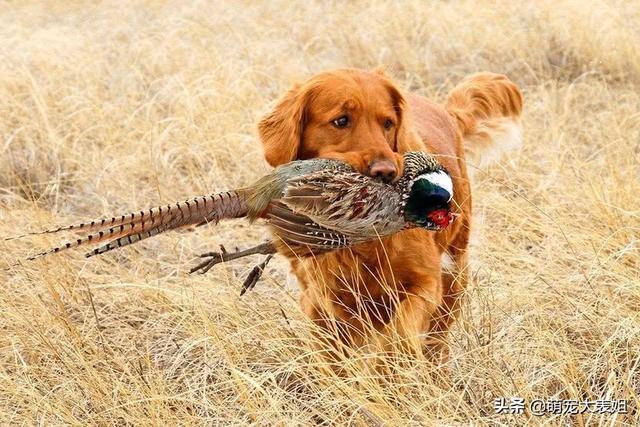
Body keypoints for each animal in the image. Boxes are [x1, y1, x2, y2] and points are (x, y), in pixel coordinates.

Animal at [258, 68, 524, 360]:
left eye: (388, 123)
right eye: (341, 120)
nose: (385, 172)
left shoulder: (426, 284)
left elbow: (399, 335)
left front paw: (388, 364)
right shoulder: (320, 301)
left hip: (455, 272)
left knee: (438, 337)